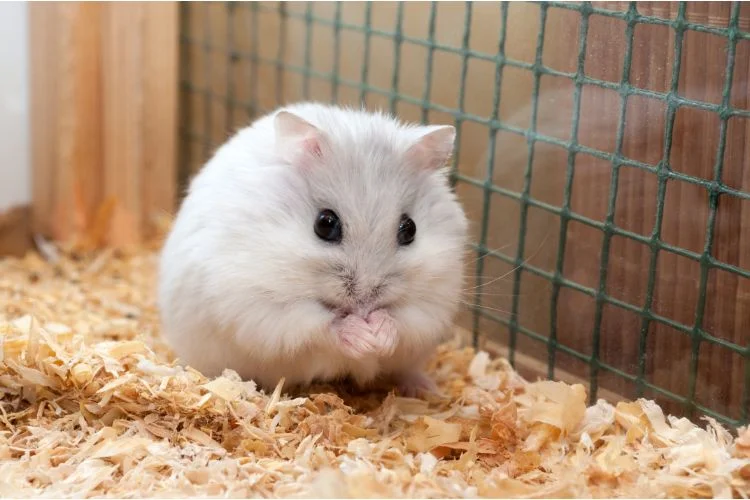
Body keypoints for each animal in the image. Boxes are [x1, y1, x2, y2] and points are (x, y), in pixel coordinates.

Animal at [157, 102, 468, 396]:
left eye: (410, 229)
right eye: (325, 224)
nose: (365, 305)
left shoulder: (434, 301)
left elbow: (405, 320)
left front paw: (379, 335)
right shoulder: (259, 304)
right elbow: (318, 325)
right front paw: (363, 336)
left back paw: (425, 389)